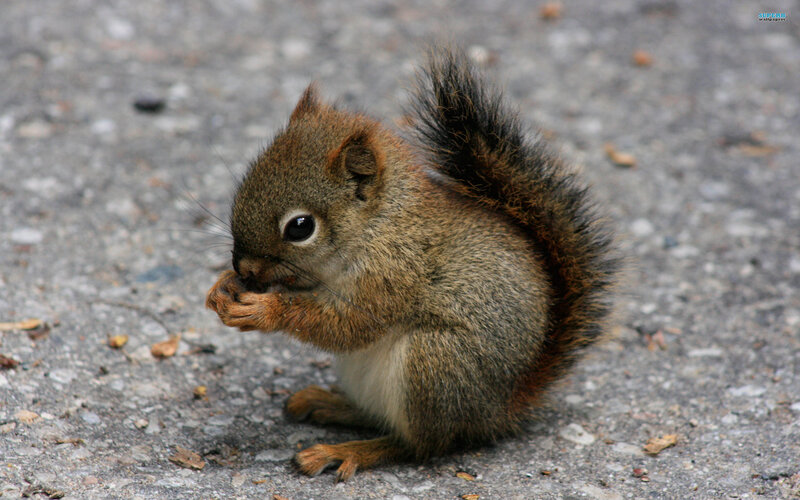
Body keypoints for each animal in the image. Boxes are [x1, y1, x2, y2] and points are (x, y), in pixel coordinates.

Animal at [205, 47, 617, 481]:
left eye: (300, 227)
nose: (245, 268)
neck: (379, 225)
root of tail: (499, 409)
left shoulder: (393, 274)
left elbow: (349, 325)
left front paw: (264, 309)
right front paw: (222, 287)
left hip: (435, 364)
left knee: (418, 445)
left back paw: (347, 450)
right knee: (379, 418)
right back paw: (329, 404)